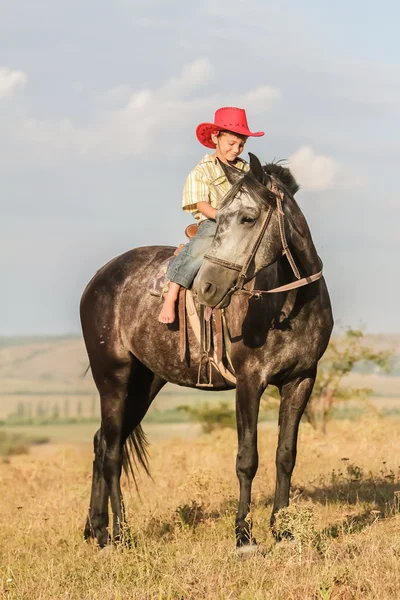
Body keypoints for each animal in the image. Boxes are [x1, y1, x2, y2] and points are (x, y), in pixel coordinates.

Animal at [79, 155, 332, 548]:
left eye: (248, 218)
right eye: (220, 218)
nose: (207, 288)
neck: (289, 303)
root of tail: (98, 279)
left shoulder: (302, 380)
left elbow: (285, 455)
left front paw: (283, 529)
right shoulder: (249, 381)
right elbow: (247, 458)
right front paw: (244, 534)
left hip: (145, 383)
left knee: (103, 442)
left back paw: (97, 528)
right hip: (113, 379)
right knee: (111, 453)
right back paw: (120, 533)